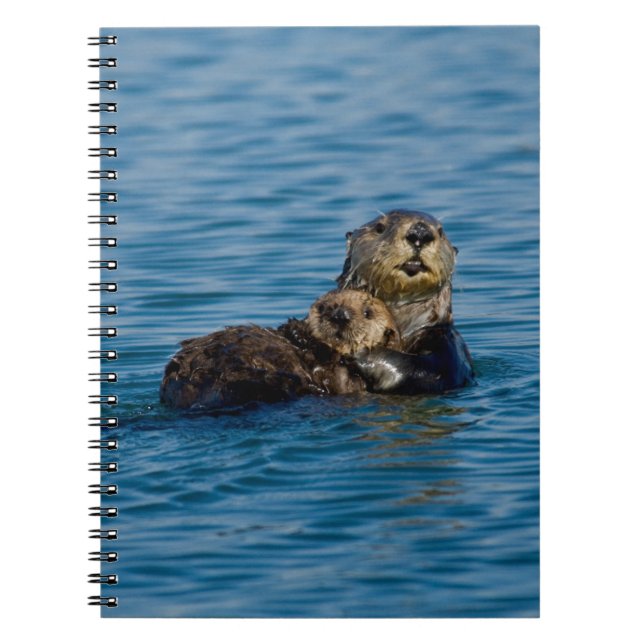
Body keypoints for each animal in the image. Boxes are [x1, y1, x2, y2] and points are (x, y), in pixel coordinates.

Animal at [337, 209, 474, 394]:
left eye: (441, 231)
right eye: (380, 227)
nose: (420, 232)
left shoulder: (449, 347)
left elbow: (427, 371)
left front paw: (361, 352)